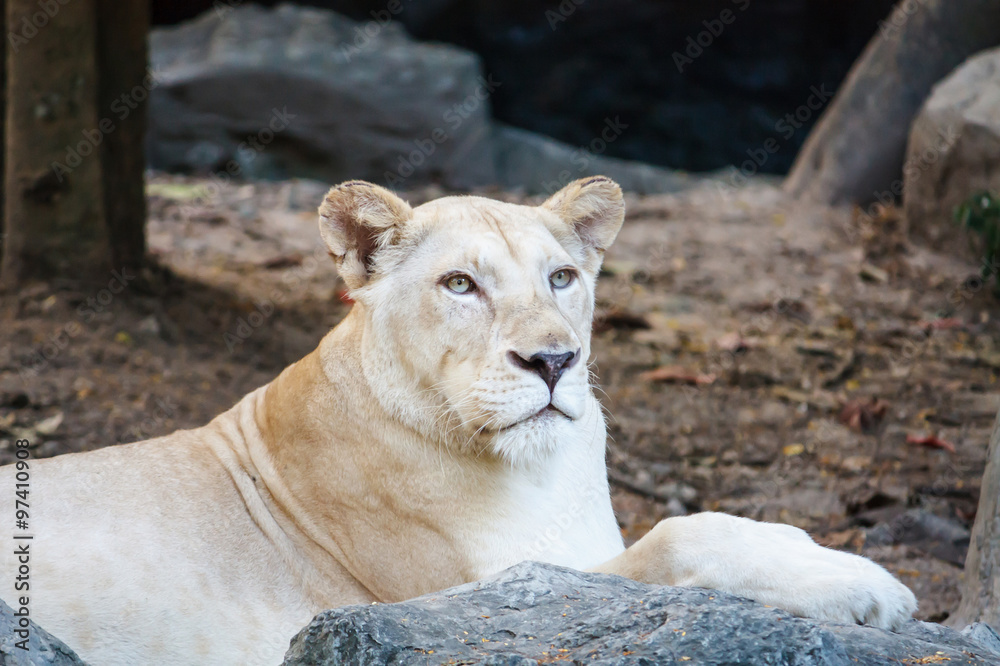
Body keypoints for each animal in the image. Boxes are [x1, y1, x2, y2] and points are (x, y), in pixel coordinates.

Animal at [0, 177, 916, 665]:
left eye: (560, 278)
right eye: (460, 285)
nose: (553, 361)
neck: (545, 468)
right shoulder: (480, 602)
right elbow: (680, 536)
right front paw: (865, 587)